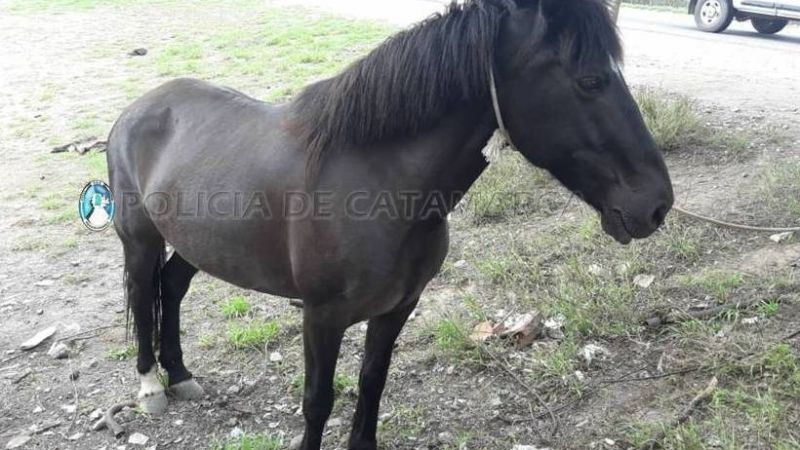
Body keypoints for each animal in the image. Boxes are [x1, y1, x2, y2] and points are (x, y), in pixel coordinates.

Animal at [106, 0, 673, 448]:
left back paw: (180, 375)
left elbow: (372, 383)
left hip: (193, 243)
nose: (656, 205)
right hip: (140, 240)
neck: (380, 184)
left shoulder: (398, 308)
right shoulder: (321, 317)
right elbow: (318, 401)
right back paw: (152, 386)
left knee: (172, 288)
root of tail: (137, 109)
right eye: (590, 80)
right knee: (143, 291)